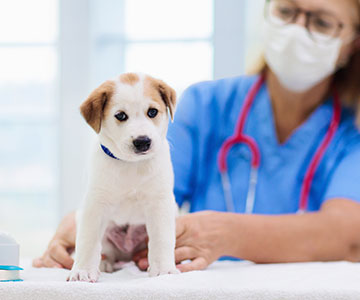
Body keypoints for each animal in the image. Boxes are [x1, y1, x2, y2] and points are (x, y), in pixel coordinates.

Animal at [67, 72, 179, 282]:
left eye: (152, 112)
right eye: (120, 115)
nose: (142, 141)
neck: (131, 165)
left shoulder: (160, 202)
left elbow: (161, 239)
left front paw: (164, 270)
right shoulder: (95, 204)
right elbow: (87, 241)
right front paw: (83, 271)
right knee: (106, 251)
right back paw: (104, 264)